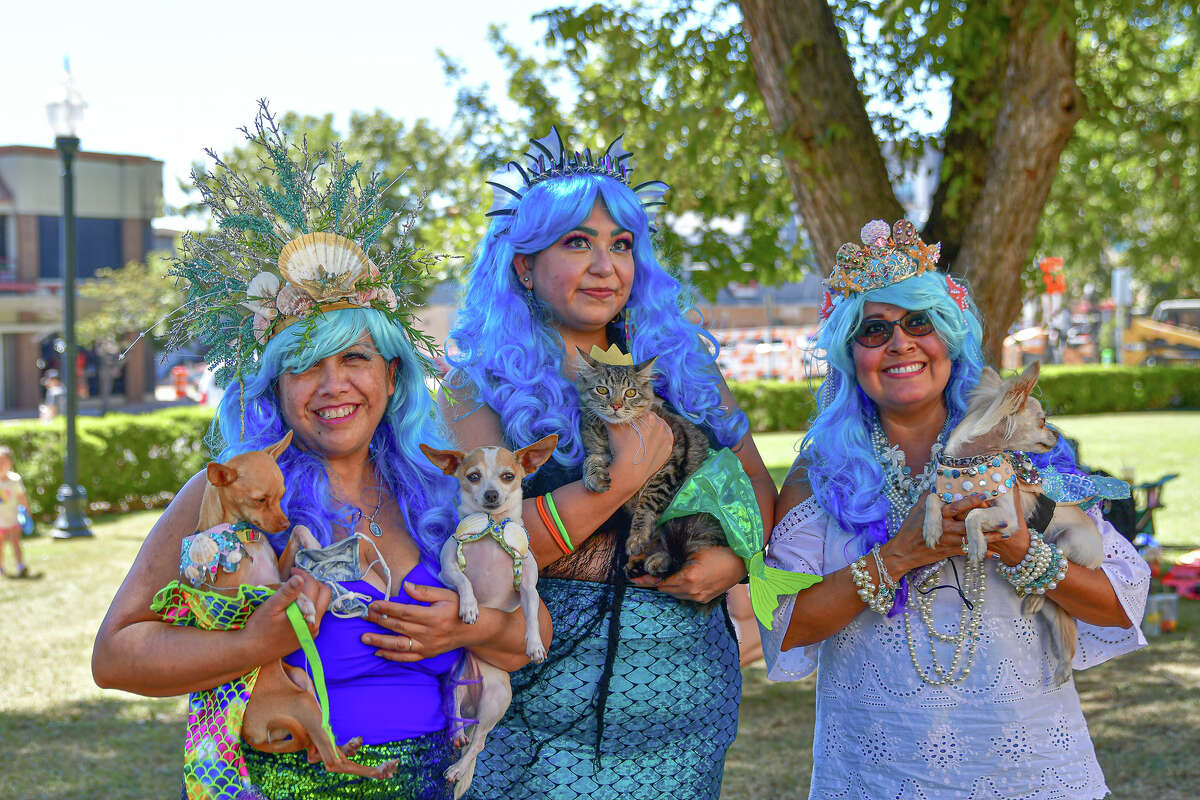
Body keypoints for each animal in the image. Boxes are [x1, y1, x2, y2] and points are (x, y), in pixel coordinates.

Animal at [183, 434, 398, 777]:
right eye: (259, 500)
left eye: (282, 495)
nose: (283, 522)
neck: (241, 536)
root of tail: (250, 733)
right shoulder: (240, 594)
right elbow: (275, 587)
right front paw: (306, 603)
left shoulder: (281, 568)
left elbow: (300, 536)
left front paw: (317, 550)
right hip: (301, 703)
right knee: (328, 761)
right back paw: (375, 769)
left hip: (302, 681)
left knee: (314, 751)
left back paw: (347, 747)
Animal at [420, 438, 554, 800]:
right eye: (474, 476)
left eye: (508, 476)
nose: (492, 494)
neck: (491, 529)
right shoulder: (448, 570)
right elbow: (464, 583)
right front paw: (469, 608)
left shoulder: (528, 588)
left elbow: (531, 616)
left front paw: (534, 646)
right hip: (451, 680)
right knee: (455, 713)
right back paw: (456, 736)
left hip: (495, 699)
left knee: (478, 743)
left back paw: (457, 768)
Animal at [571, 347, 720, 578]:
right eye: (602, 390)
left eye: (630, 393)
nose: (616, 405)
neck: (609, 433)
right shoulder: (600, 452)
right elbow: (590, 460)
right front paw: (594, 478)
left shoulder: (669, 465)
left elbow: (647, 504)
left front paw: (637, 537)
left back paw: (656, 560)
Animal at [921, 362, 1099, 681]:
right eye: (1043, 421)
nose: (1056, 435)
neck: (971, 465)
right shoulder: (947, 495)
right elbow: (931, 499)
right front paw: (931, 529)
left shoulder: (1008, 515)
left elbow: (975, 515)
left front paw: (976, 544)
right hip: (1054, 607)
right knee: (1063, 621)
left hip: (1070, 541)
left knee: (1059, 559)